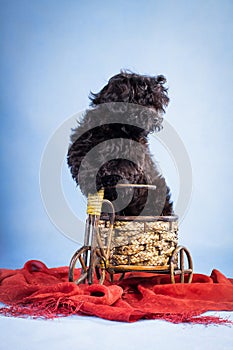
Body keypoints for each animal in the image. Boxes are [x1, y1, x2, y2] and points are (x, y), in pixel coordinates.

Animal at [67, 71, 173, 216]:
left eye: (156, 105)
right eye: (141, 101)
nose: (157, 119)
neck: (116, 129)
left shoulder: (135, 157)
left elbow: (121, 166)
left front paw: (112, 180)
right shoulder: (80, 147)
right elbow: (84, 164)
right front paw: (92, 180)